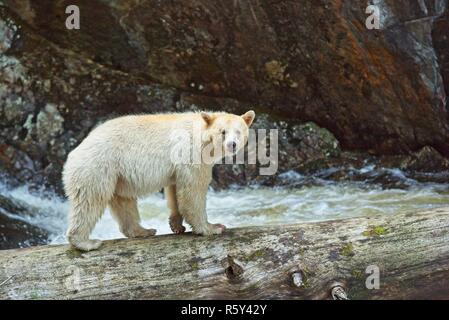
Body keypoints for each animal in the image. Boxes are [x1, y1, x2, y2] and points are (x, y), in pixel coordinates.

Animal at [61, 111, 254, 251]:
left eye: (239, 131)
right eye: (223, 132)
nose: (232, 144)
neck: (201, 134)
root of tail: (75, 152)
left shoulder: (179, 165)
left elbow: (175, 189)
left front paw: (177, 226)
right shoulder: (192, 153)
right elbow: (193, 190)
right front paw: (212, 227)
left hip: (118, 175)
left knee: (123, 202)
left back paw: (143, 231)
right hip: (98, 167)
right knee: (90, 200)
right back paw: (86, 242)